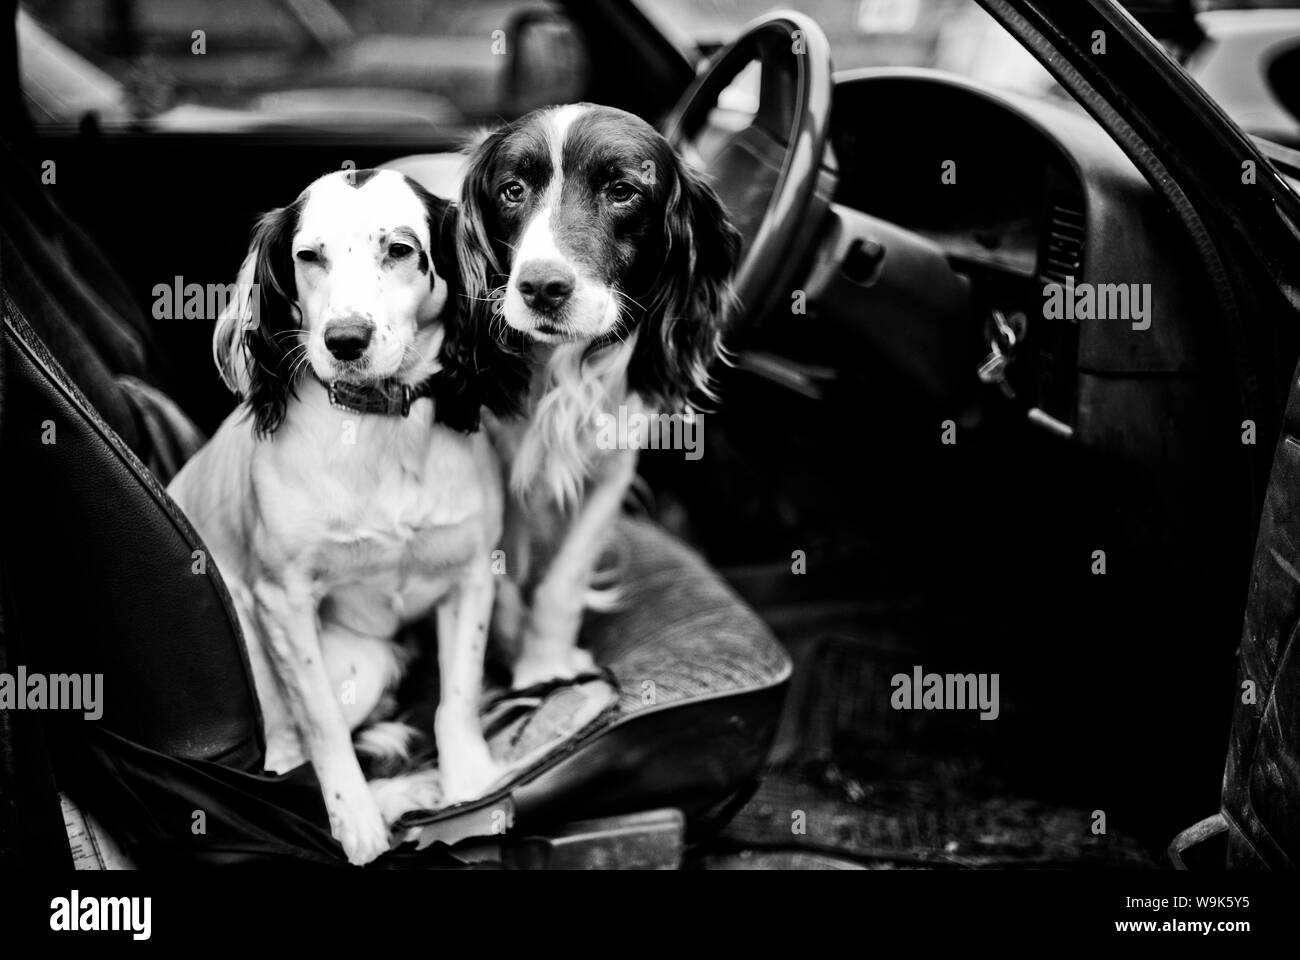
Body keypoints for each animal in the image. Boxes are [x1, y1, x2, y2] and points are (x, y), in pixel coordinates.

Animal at [167, 167, 522, 863]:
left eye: (401, 250)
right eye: (309, 257)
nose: (345, 340)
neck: (379, 427)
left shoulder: (472, 573)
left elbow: (458, 697)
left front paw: (472, 788)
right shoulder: (282, 601)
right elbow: (322, 724)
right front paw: (353, 817)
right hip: (352, 663)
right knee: (287, 750)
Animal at [457, 102, 743, 686]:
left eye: (623, 191)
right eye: (512, 190)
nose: (542, 288)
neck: (562, 366)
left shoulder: (613, 471)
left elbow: (562, 581)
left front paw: (545, 666)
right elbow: (501, 574)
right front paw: (518, 659)